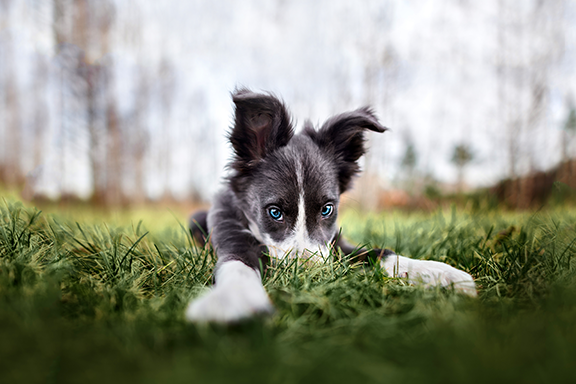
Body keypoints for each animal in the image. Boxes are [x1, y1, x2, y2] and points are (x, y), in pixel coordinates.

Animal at [186, 88, 476, 322]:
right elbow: (238, 264)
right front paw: (234, 298)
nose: (311, 276)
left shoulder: (336, 243)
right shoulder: (231, 234)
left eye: (327, 209)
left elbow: (379, 252)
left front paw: (439, 273)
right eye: (275, 212)